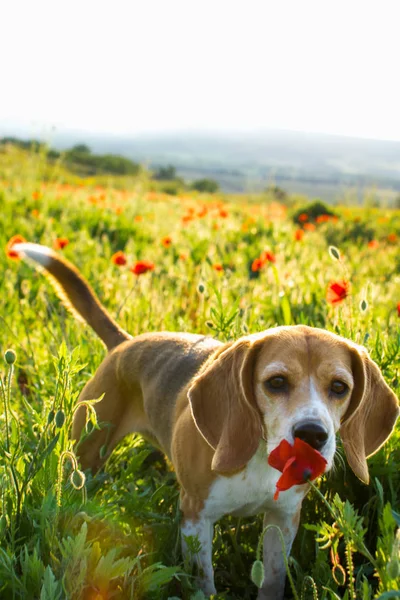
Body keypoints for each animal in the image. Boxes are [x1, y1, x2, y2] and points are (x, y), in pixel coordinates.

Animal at [11, 241, 396, 596]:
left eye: (339, 387)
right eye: (276, 382)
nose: (312, 434)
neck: (260, 455)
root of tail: (125, 344)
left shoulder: (283, 519)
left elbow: (272, 578)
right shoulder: (195, 517)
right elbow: (203, 582)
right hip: (85, 456)